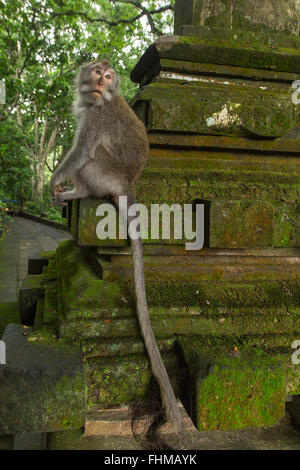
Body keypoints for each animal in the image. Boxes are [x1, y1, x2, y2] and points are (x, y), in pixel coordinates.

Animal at [50, 59, 183, 436]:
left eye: (108, 77)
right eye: (98, 72)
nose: (99, 82)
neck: (98, 101)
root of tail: (128, 182)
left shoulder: (96, 120)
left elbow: (80, 151)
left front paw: (55, 179)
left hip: (104, 172)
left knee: (91, 158)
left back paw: (77, 191)